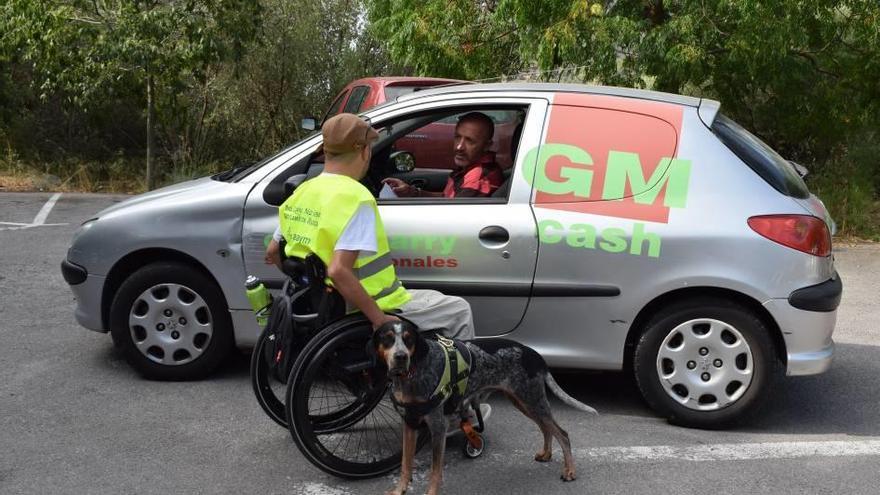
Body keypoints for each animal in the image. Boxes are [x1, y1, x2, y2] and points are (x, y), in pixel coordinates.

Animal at [372, 320, 600, 494]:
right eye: (387, 338)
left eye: (409, 338)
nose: (401, 357)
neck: (411, 376)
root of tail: (537, 357)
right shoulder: (410, 425)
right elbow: (405, 464)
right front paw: (399, 490)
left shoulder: (438, 428)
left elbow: (435, 472)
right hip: (524, 402)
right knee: (547, 428)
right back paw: (546, 454)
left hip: (532, 401)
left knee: (563, 433)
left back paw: (569, 471)